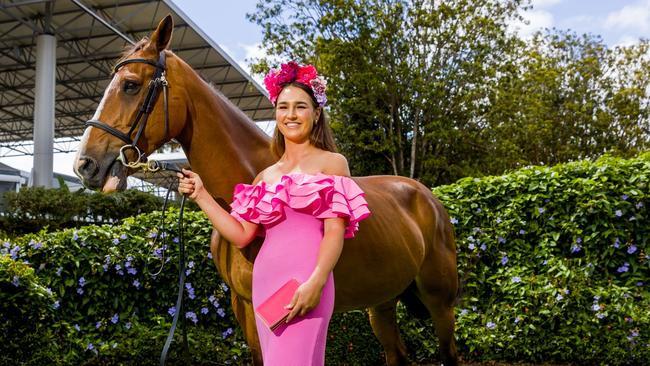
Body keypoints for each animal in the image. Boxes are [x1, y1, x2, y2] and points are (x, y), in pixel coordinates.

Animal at [73, 15, 458, 364]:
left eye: (131, 85)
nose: (85, 164)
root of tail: (428, 199)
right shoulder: (244, 306)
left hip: (440, 301)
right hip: (382, 303)